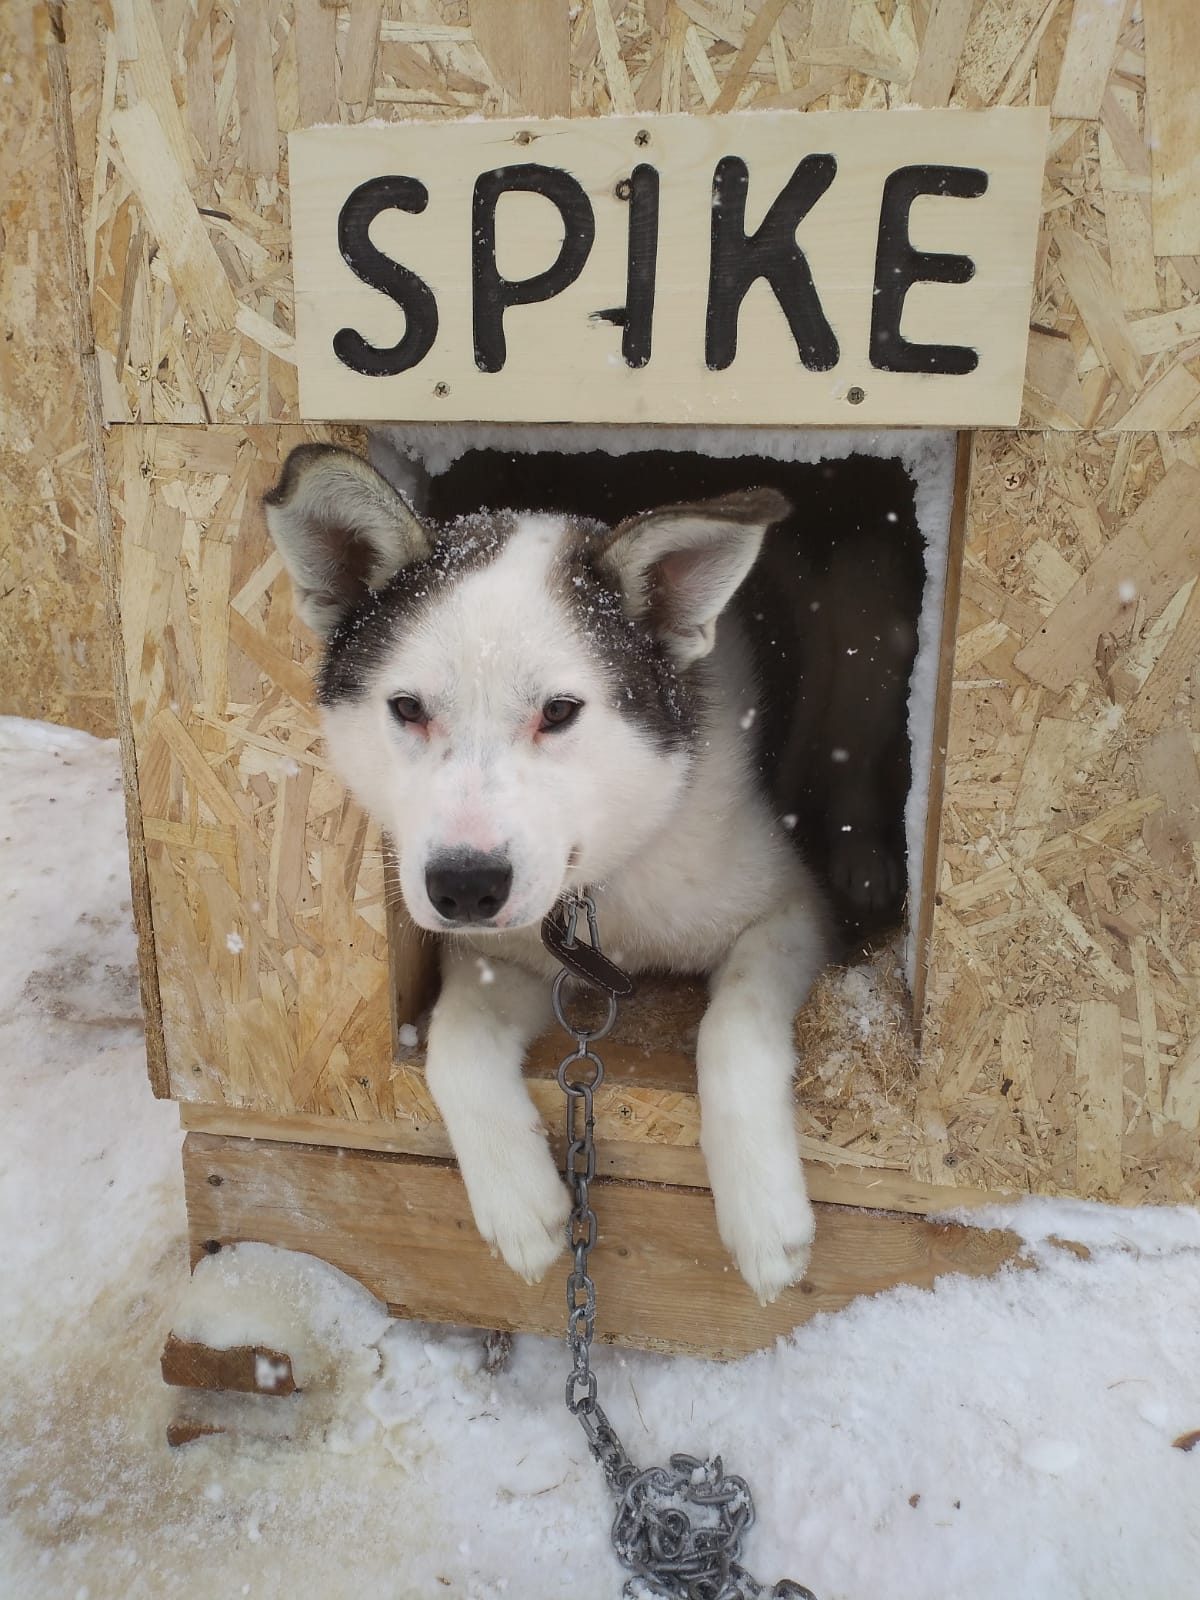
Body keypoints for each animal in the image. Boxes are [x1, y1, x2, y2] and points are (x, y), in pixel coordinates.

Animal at [264, 444, 838, 1305]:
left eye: (560, 712)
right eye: (407, 708)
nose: (465, 888)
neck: (601, 887)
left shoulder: (790, 907)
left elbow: (734, 1026)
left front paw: (764, 1214)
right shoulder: (498, 954)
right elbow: (456, 1044)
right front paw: (519, 1201)